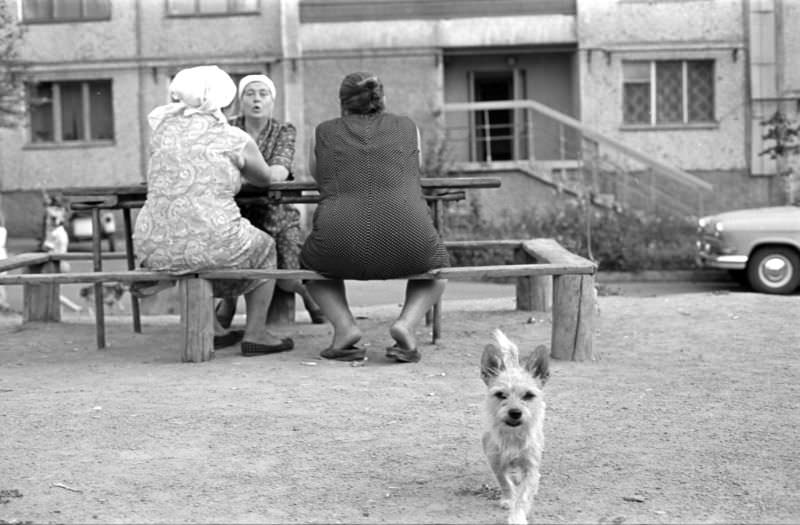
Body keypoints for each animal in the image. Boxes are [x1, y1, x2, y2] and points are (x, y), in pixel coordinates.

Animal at [482, 330, 552, 520]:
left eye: (528, 395)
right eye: (500, 394)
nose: (515, 412)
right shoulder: (496, 463)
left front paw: (517, 516)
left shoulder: (531, 468)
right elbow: (505, 483)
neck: (513, 435)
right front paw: (508, 499)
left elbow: (524, 495)